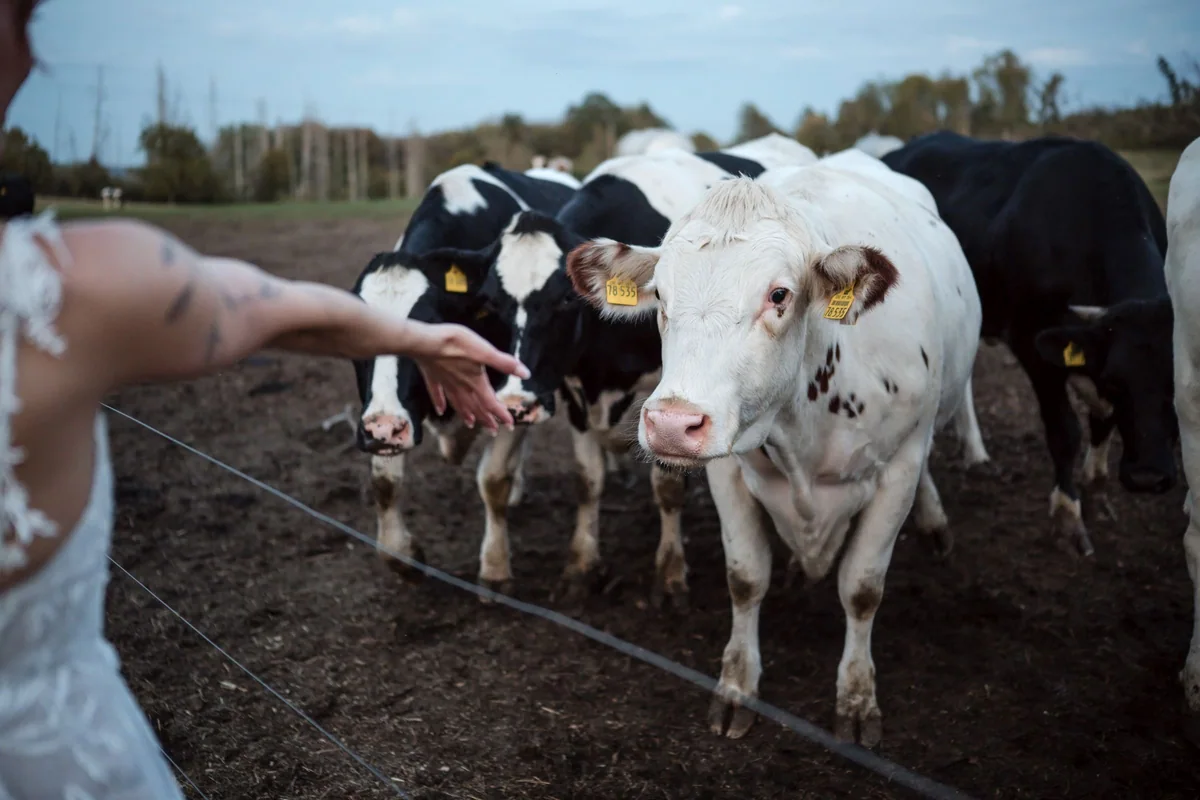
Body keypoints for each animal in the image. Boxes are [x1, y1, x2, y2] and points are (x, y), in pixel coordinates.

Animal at [349, 162, 580, 577]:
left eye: (425, 329)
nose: (384, 429)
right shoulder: (387, 410)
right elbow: (385, 482)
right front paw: (402, 555)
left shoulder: (514, 394)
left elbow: (493, 480)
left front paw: (495, 567)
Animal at [564, 159, 988, 746]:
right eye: (661, 298)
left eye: (780, 294)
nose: (672, 424)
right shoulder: (726, 471)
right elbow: (745, 578)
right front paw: (736, 685)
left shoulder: (900, 465)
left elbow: (862, 587)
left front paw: (857, 697)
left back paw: (934, 523)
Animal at [884, 131, 1176, 557]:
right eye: (1118, 381)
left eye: (1181, 383)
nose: (1147, 477)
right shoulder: (1033, 346)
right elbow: (1065, 432)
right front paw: (1068, 516)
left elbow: (1103, 420)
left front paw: (1097, 489)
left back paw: (975, 451)